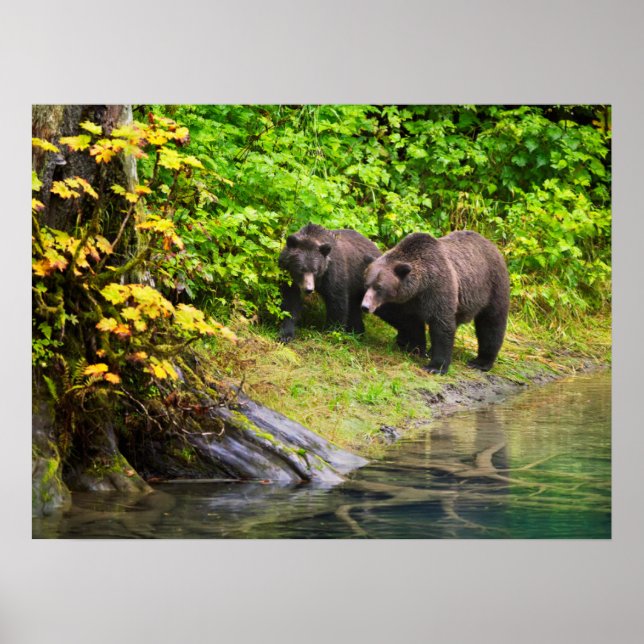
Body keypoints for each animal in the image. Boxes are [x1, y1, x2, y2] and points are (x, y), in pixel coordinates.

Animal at [278, 223, 425, 351]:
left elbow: (337, 302)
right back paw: (358, 332)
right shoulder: (287, 275)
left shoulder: (334, 273)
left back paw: (414, 344)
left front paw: (331, 332)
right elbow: (290, 302)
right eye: (301, 268)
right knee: (356, 311)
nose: (309, 289)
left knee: (396, 311)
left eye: (315, 269)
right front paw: (285, 335)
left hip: (379, 288)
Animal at [361, 230, 510, 374]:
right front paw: (415, 347)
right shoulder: (406, 301)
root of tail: (491, 244)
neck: (420, 286)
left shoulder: (437, 289)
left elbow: (441, 325)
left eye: (379, 287)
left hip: (492, 286)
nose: (365, 306)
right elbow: (408, 322)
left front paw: (435, 366)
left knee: (491, 323)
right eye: (367, 284)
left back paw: (481, 362)